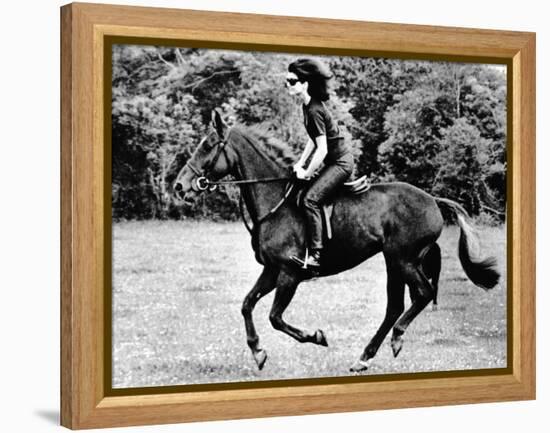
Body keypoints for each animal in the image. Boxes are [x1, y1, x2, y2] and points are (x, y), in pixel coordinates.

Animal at [175, 110, 502, 372]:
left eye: (207, 146)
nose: (179, 186)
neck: (275, 202)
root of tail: (433, 200)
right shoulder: (271, 270)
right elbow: (246, 305)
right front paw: (257, 351)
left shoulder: (289, 274)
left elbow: (275, 317)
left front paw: (316, 337)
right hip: (394, 261)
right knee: (395, 305)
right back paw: (365, 357)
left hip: (403, 259)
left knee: (421, 293)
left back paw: (395, 338)